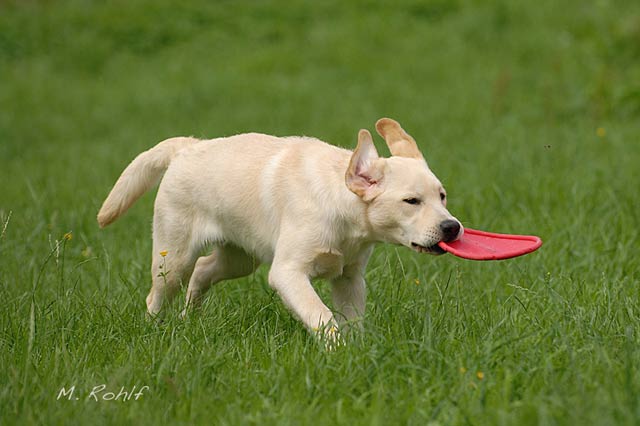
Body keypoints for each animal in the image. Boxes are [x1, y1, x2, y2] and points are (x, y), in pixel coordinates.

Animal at [98, 118, 463, 339]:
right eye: (411, 201)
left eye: (442, 196)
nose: (452, 227)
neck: (344, 214)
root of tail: (187, 146)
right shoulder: (287, 272)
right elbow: (320, 315)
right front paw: (336, 350)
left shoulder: (350, 279)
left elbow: (352, 320)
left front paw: (358, 354)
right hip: (173, 257)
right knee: (158, 293)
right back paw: (153, 330)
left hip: (240, 259)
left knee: (202, 270)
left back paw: (192, 318)